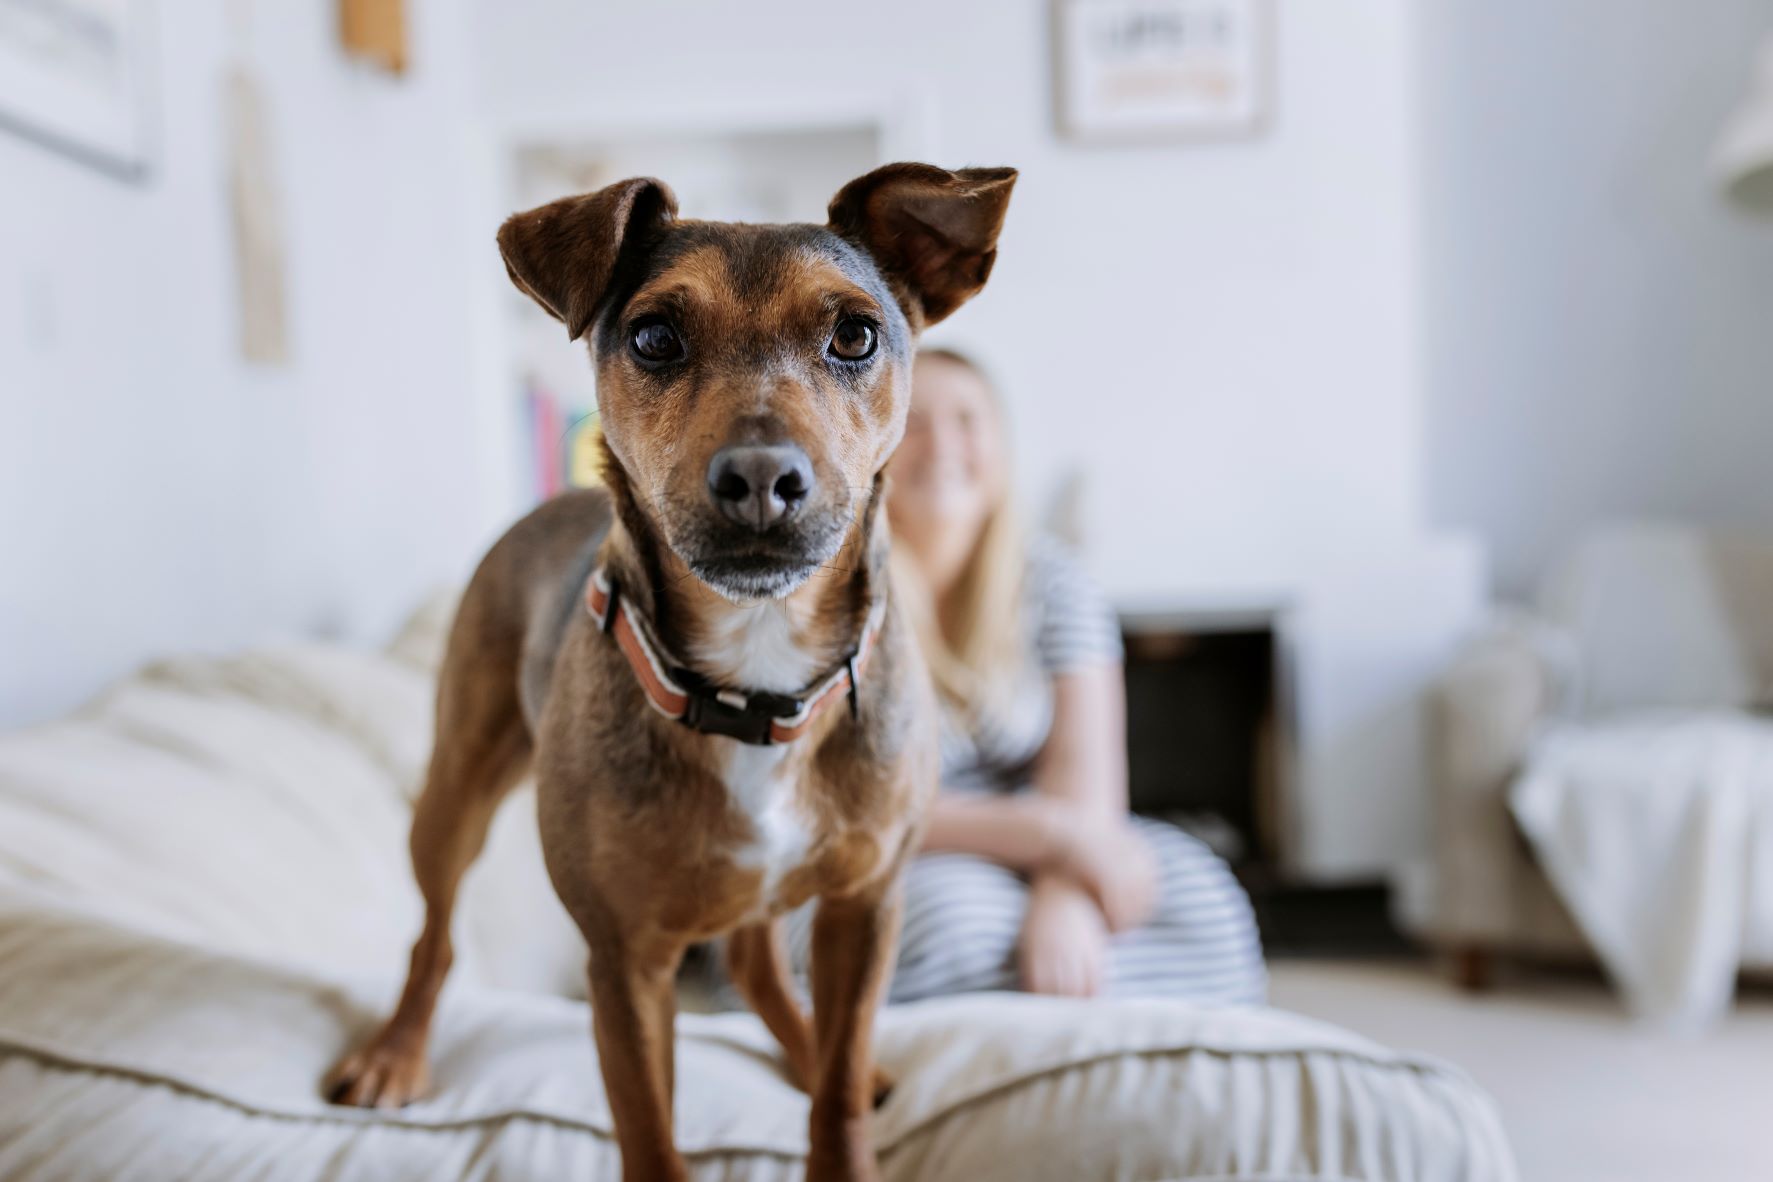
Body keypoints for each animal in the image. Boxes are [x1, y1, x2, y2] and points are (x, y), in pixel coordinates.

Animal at [319, 159, 1014, 1182]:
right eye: (653, 336)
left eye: (855, 335)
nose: (761, 478)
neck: (754, 681)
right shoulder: (625, 961)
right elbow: (649, 1130)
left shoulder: (864, 908)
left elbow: (840, 1093)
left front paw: (837, 1103)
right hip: (451, 797)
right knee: (434, 937)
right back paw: (396, 1053)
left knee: (763, 972)